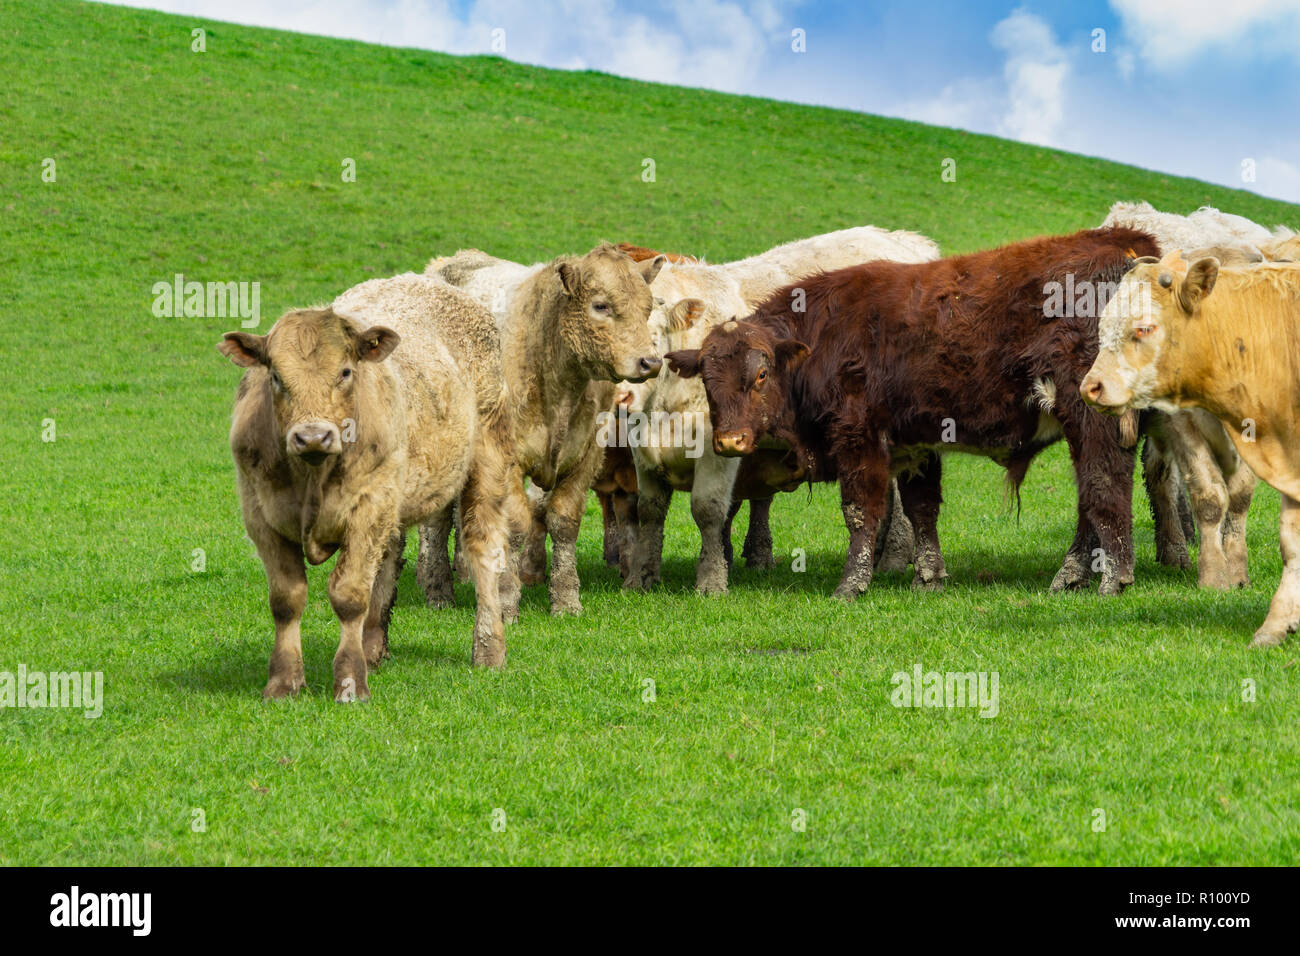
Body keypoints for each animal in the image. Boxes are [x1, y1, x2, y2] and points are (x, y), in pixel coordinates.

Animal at [219, 273, 515, 701]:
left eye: (344, 372)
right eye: (275, 376)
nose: (312, 437)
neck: (313, 476)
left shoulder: (367, 510)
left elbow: (349, 596)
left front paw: (349, 681)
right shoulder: (261, 516)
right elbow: (286, 600)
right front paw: (284, 682)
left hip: (487, 458)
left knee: (484, 548)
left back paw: (489, 648)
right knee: (388, 559)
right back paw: (373, 647)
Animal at [667, 226, 1160, 599]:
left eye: (762, 374)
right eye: (707, 380)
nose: (730, 440)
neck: (824, 335)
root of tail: (1124, 244)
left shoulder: (858, 434)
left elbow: (861, 510)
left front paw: (852, 584)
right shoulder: (915, 443)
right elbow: (922, 508)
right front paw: (929, 576)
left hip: (1092, 419)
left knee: (1104, 488)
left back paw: (1113, 579)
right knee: (1090, 498)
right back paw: (1072, 576)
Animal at [1080, 252, 1300, 646]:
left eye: (1144, 328)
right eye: (1103, 326)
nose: (1091, 386)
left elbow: (1240, 499)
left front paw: (1238, 572)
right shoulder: (1185, 426)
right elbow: (1210, 497)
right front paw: (1214, 576)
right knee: (1161, 480)